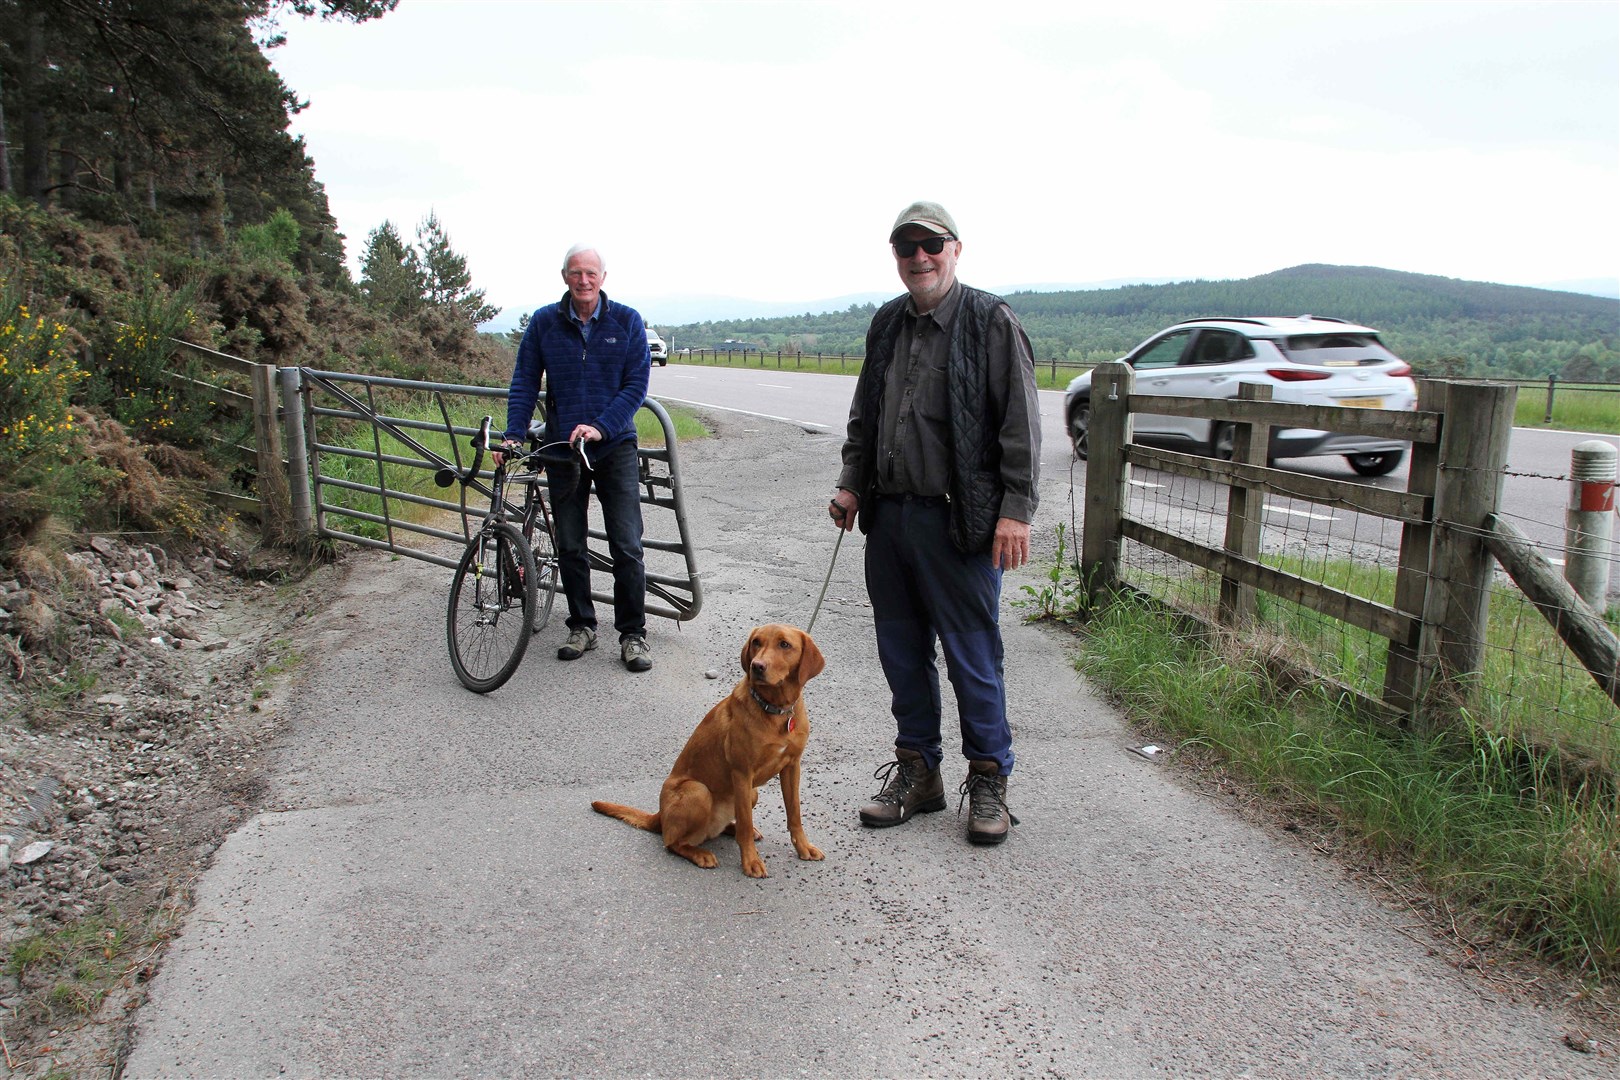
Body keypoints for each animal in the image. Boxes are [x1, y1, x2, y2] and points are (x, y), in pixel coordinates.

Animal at [592, 625, 822, 880]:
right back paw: (700, 854)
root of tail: (659, 815)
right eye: (756, 642)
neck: (776, 711)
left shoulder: (792, 766)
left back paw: (736, 829)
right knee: (672, 842)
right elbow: (744, 822)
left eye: (784, 644)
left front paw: (804, 847)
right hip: (698, 791)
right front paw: (751, 861)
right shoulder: (742, 772)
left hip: (751, 793)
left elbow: (794, 814)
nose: (757, 666)